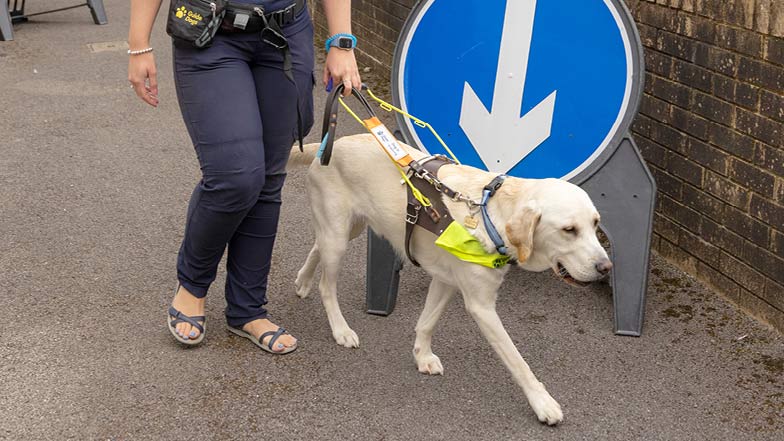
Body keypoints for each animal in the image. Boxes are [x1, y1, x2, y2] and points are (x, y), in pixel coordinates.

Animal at [288, 133, 612, 422]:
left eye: (596, 223)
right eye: (569, 230)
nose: (606, 267)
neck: (488, 215)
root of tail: (331, 143)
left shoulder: (446, 281)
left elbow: (427, 323)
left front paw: (422, 356)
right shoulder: (482, 306)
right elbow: (517, 361)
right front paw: (542, 402)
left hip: (347, 229)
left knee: (317, 246)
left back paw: (303, 281)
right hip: (339, 236)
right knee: (326, 285)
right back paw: (340, 329)